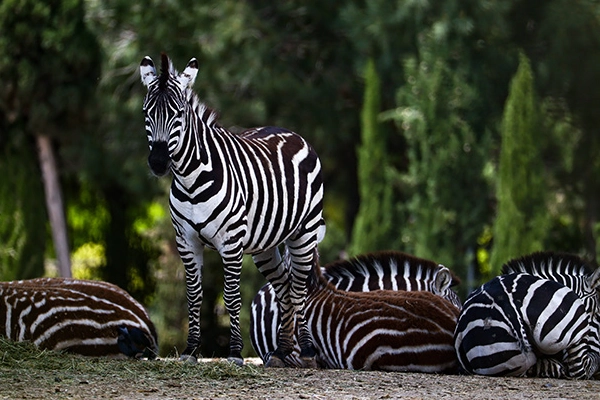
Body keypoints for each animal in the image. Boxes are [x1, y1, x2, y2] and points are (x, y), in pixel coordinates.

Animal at [139, 54, 324, 368]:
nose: (158, 163)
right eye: (147, 112)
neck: (190, 179)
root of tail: (291, 133)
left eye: (179, 113)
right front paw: (191, 350)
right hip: (265, 246)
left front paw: (235, 353)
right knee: (284, 287)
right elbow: (193, 295)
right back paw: (283, 351)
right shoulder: (185, 241)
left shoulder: (230, 242)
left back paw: (308, 349)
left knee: (299, 288)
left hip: (305, 233)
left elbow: (232, 296)